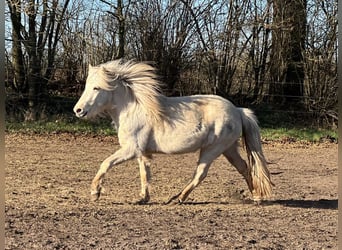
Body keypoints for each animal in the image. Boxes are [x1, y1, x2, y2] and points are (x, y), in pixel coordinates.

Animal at [73, 59, 274, 204]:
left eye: (97, 87)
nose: (78, 110)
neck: (132, 109)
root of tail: (238, 111)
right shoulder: (141, 152)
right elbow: (144, 173)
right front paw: (143, 198)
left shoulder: (130, 150)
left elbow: (106, 163)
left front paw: (95, 192)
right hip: (229, 149)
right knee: (244, 167)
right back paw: (256, 197)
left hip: (212, 150)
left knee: (200, 174)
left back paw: (179, 198)